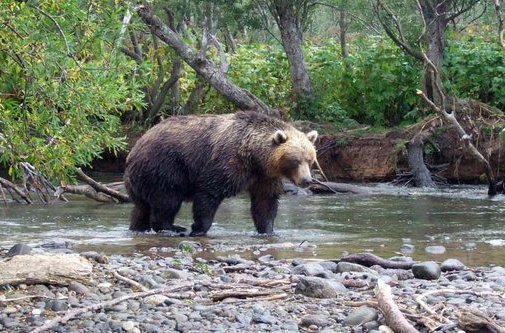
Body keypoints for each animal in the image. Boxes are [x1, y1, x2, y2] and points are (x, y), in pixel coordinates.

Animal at [123, 110, 316, 235]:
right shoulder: (226, 163)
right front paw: (198, 228)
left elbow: (265, 201)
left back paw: (138, 227)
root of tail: (133, 150)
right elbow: (209, 193)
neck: (254, 157)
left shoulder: (264, 176)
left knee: (141, 207)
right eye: (295, 161)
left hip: (139, 179)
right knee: (167, 198)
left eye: (310, 159)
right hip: (165, 166)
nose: (307, 180)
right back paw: (172, 228)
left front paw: (268, 230)